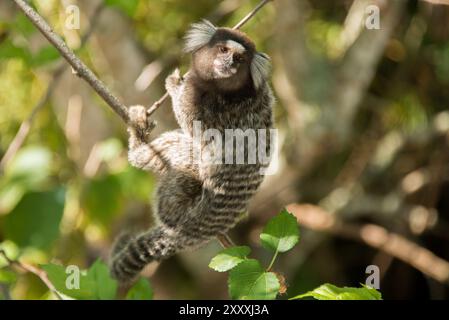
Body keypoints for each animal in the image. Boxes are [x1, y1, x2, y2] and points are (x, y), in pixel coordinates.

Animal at [110, 20, 274, 282]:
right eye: (224, 50)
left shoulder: (199, 99)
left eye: (239, 59)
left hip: (179, 200)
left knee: (179, 148)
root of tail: (188, 233)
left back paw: (137, 142)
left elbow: (192, 124)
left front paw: (173, 86)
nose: (229, 64)